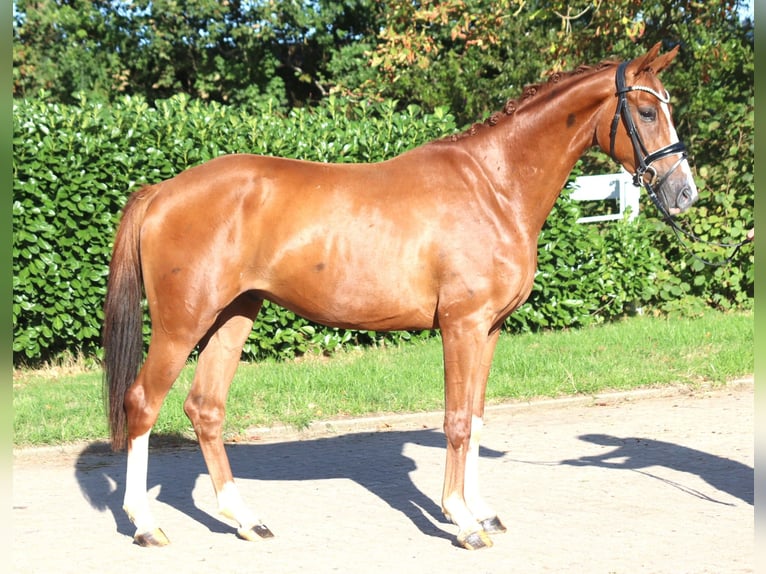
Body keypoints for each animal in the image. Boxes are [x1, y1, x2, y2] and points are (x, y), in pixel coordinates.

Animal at [103, 42, 697, 551]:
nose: (684, 193)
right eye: (647, 112)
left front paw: (482, 511)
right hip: (182, 324)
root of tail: (162, 191)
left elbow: (476, 418)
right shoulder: (461, 326)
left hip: (233, 315)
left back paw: (246, 520)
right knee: (143, 403)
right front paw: (461, 521)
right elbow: (456, 421)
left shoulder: (489, 329)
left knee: (205, 408)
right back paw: (146, 525)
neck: (493, 186)